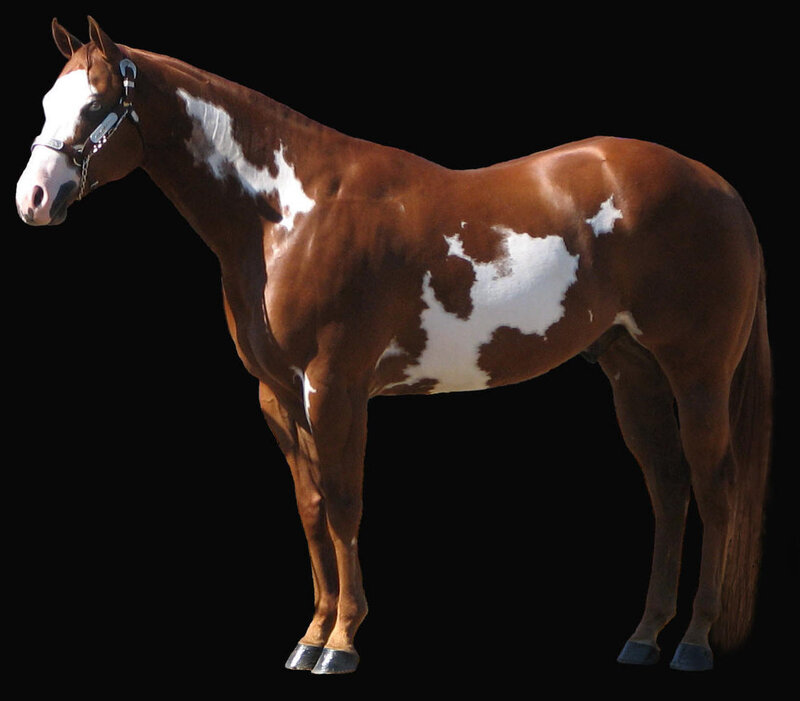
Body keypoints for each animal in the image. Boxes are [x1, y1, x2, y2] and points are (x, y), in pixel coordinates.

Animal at [16, 17, 772, 674]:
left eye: (96, 106)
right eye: (50, 102)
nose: (33, 198)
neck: (290, 213)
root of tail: (720, 189)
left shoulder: (336, 387)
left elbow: (345, 504)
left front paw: (341, 644)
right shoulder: (278, 394)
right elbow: (311, 509)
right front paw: (309, 636)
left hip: (698, 374)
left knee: (716, 486)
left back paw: (694, 642)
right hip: (631, 369)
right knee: (668, 487)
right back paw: (644, 637)